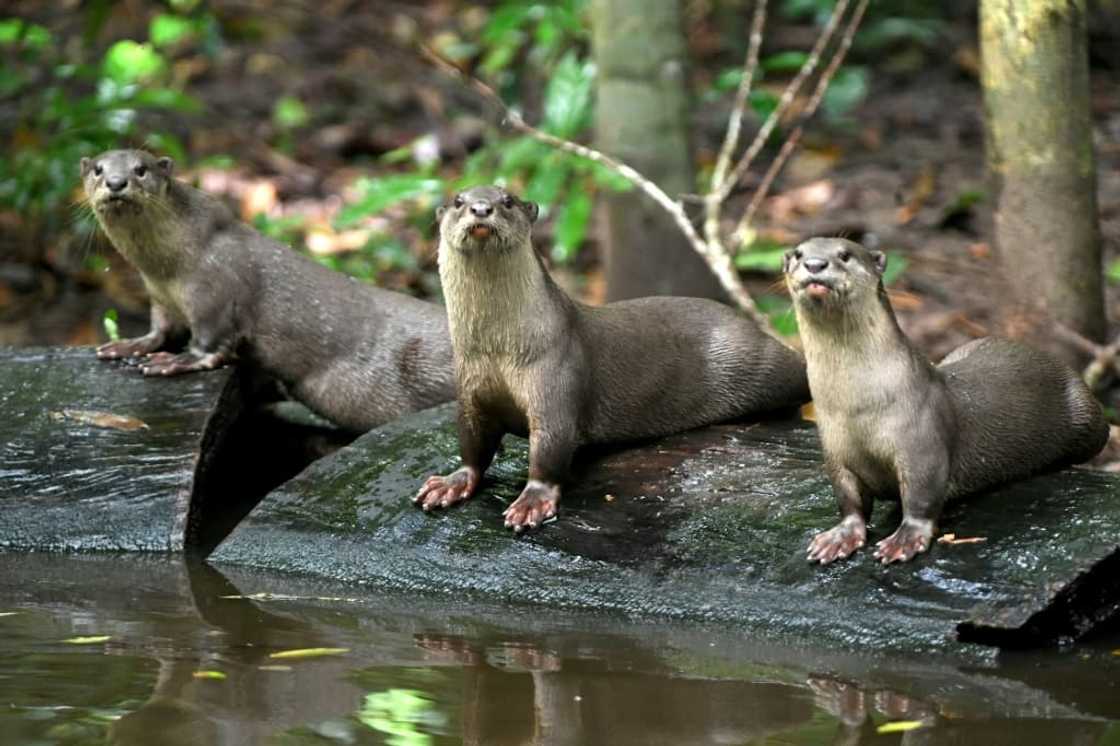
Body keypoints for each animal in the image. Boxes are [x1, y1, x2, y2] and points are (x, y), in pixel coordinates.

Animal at [78, 150, 456, 430]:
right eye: (98, 169)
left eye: (140, 170)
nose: (116, 182)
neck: (171, 265)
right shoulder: (160, 296)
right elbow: (160, 329)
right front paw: (129, 345)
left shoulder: (213, 290)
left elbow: (212, 344)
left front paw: (176, 361)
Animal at [416, 184, 810, 528]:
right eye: (458, 200)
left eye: (508, 201)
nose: (482, 208)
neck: (500, 349)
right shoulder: (470, 388)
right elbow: (471, 442)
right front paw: (452, 482)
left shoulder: (555, 378)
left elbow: (551, 446)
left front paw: (532, 502)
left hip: (758, 362)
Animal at [788, 238, 1111, 564]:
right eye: (798, 254)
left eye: (845, 255)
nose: (814, 264)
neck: (858, 407)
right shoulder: (835, 449)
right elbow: (849, 500)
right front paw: (839, 537)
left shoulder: (921, 442)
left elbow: (921, 497)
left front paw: (905, 540)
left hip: (1088, 418)